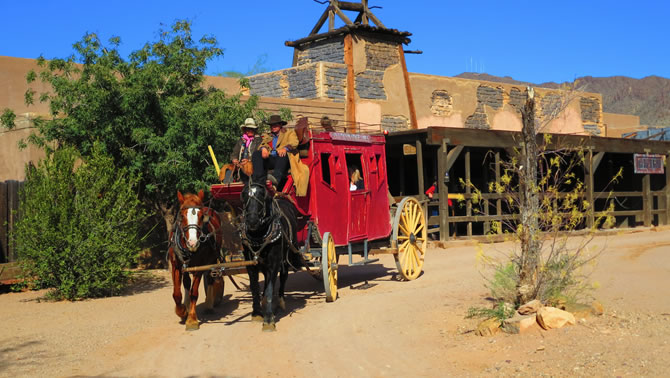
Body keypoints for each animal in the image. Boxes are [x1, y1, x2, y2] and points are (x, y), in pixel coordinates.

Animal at [169, 190, 227, 330]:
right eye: (182, 216)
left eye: (201, 217)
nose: (193, 242)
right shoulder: (176, 266)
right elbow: (177, 294)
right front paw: (182, 311)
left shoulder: (200, 267)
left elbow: (194, 292)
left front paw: (191, 319)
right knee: (186, 282)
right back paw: (186, 304)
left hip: (212, 260)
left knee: (211, 278)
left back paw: (209, 304)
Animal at [240, 180, 304, 330]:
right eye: (244, 195)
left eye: (262, 195)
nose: (252, 220)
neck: (258, 235)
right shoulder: (251, 264)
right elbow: (254, 287)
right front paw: (257, 313)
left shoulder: (275, 262)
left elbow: (270, 288)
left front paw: (269, 319)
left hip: (286, 255)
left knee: (284, 276)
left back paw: (280, 301)